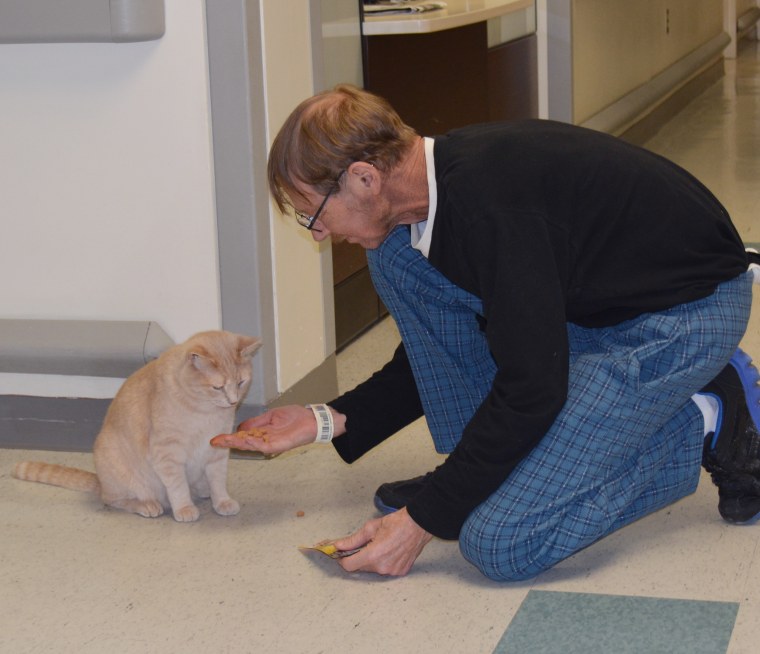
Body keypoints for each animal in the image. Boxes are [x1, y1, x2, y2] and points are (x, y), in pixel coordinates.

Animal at [11, 330, 262, 524]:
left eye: (241, 382)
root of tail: (100, 481)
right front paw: (184, 508)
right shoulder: (167, 454)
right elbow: (178, 485)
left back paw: (202, 492)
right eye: (217, 387)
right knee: (113, 500)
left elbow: (218, 481)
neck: (205, 412)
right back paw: (147, 505)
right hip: (119, 470)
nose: (233, 401)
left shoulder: (216, 452)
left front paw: (222, 501)